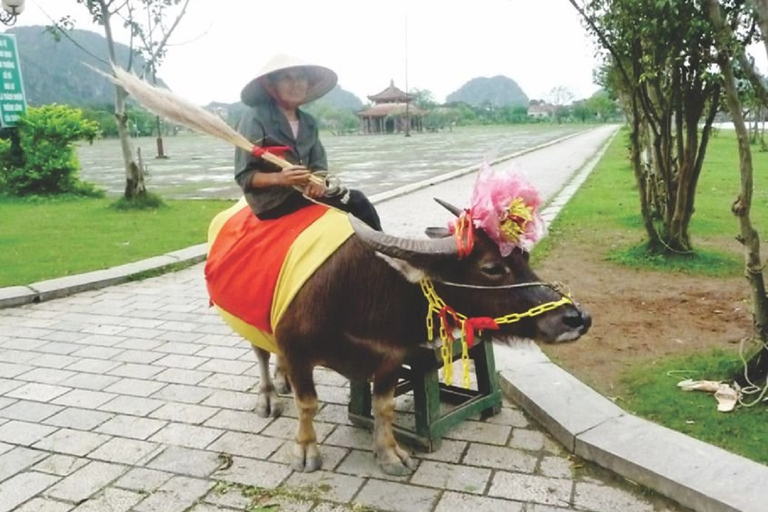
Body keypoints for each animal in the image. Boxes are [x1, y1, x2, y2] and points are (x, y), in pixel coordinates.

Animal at [243, 203, 592, 476]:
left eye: (525, 257)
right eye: (492, 268)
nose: (577, 318)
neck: (361, 292)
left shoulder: (391, 357)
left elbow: (383, 407)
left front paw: (389, 453)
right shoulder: (298, 351)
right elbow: (307, 404)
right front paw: (305, 450)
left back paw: (282, 379)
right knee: (261, 353)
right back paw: (268, 397)